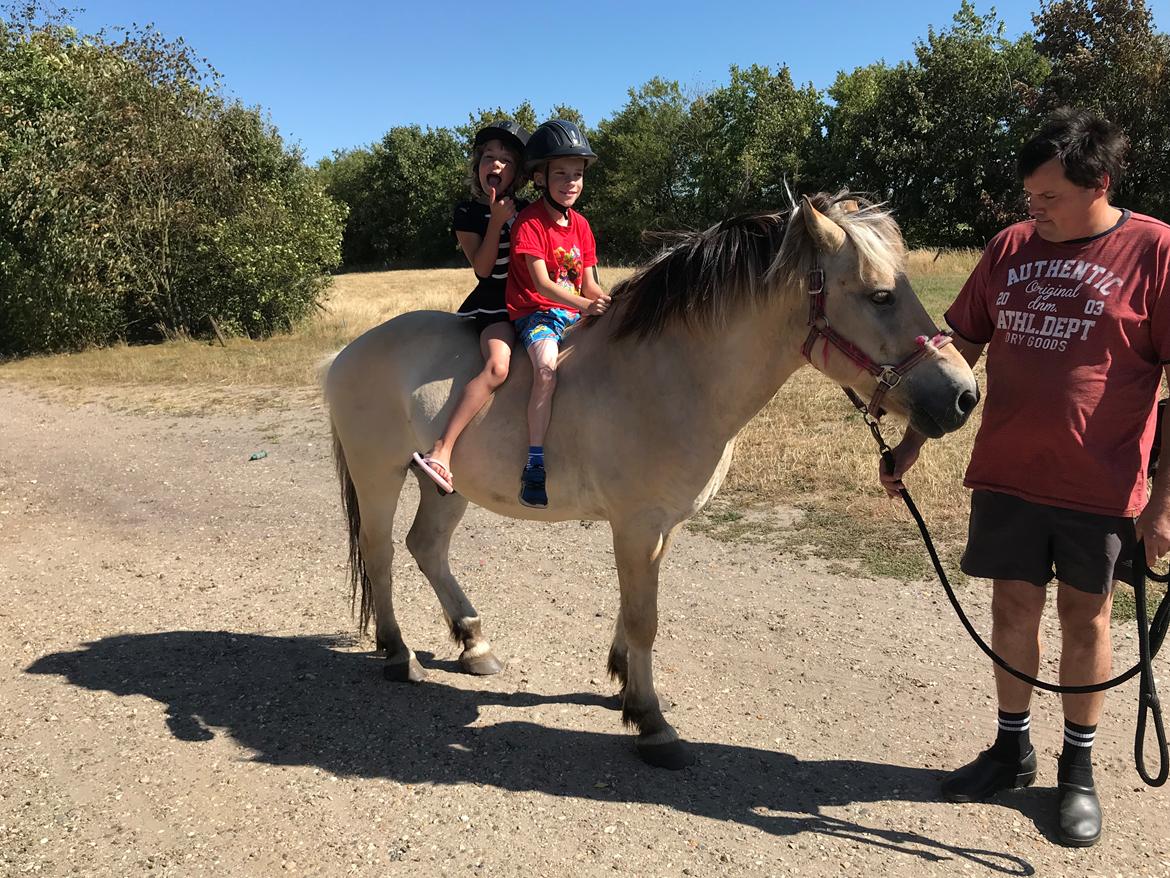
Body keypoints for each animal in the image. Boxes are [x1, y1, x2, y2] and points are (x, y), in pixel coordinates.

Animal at [325, 194, 973, 767]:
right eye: (880, 295)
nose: (964, 396)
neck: (670, 375)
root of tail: (348, 352)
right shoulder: (635, 524)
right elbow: (644, 618)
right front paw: (651, 721)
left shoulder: (661, 525)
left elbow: (634, 608)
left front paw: (622, 680)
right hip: (378, 473)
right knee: (381, 553)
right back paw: (397, 653)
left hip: (448, 484)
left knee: (426, 547)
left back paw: (474, 641)